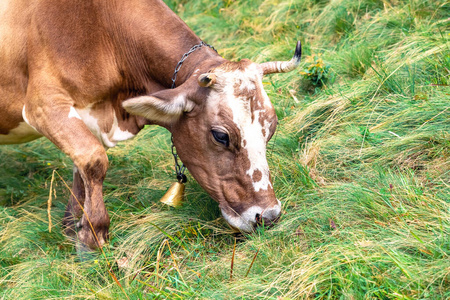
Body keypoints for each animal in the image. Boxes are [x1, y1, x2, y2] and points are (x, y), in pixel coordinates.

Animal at [0, 0, 302, 250]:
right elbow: (94, 159)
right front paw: (93, 237)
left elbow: (81, 166)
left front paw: (73, 225)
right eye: (220, 136)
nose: (269, 216)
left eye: (271, 128)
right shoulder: (43, 105)